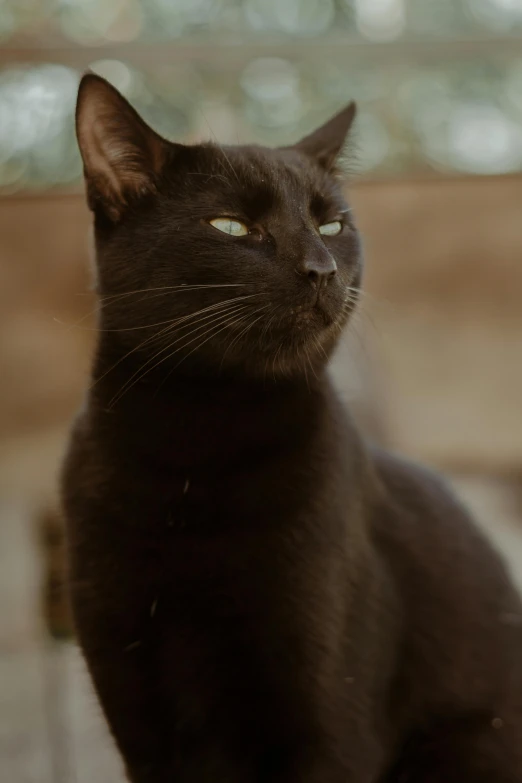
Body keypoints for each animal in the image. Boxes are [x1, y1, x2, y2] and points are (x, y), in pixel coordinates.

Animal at [63, 75, 520, 783]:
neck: (194, 455)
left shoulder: (328, 721)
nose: (322, 268)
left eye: (332, 224)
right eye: (231, 225)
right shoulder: (135, 705)